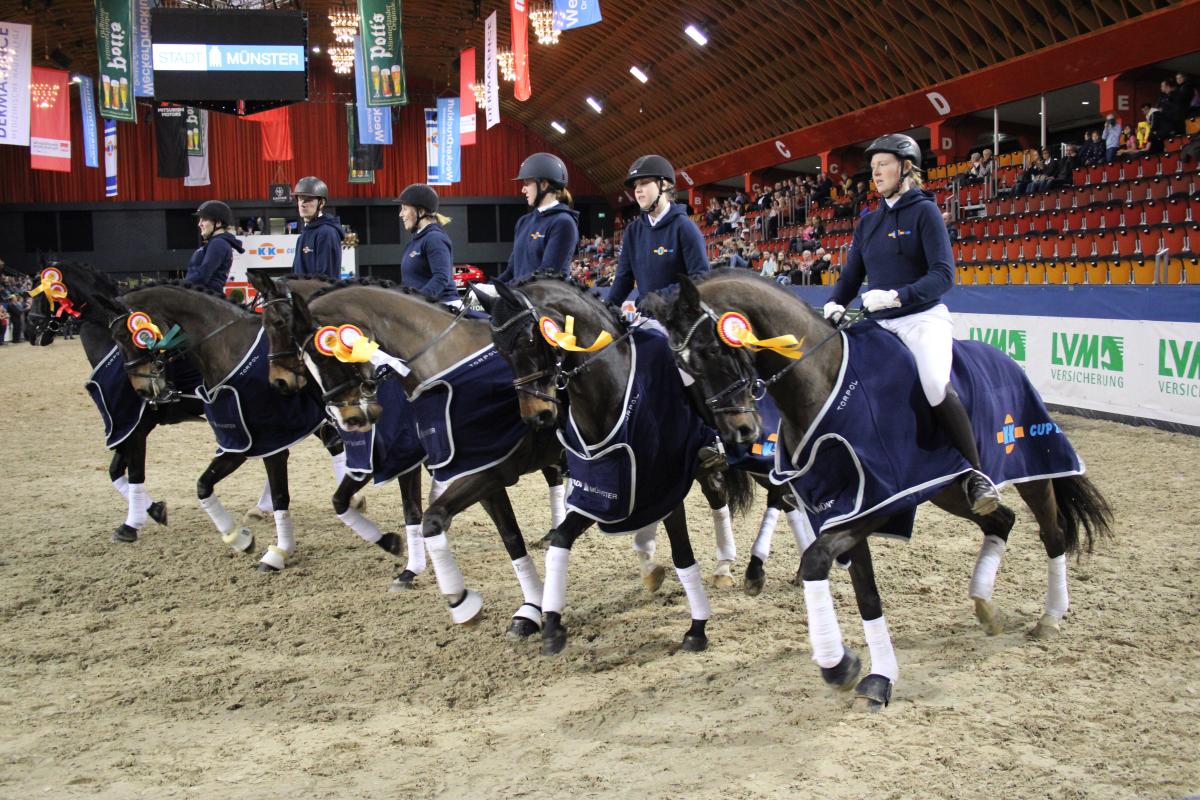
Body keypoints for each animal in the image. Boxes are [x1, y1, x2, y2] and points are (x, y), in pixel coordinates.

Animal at [97, 278, 328, 573]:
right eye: (114, 339)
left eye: (125, 336)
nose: (142, 390)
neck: (226, 348)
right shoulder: (238, 441)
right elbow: (202, 485)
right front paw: (239, 538)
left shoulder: (267, 439)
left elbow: (280, 495)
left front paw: (277, 553)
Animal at [278, 280, 568, 638]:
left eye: (326, 352)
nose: (349, 420)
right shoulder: (470, 474)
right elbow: (504, 537)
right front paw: (528, 611)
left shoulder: (481, 472)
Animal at [482, 275, 753, 657]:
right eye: (499, 351)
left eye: (530, 339)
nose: (537, 416)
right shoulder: (604, 493)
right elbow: (560, 539)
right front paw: (551, 625)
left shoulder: (666, 488)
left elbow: (683, 555)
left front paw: (697, 629)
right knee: (718, 496)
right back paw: (721, 565)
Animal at [662, 272, 1108, 710]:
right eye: (682, 366)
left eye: (713, 350)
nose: (738, 432)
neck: (820, 383)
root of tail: (1006, 360)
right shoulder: (844, 508)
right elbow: (865, 595)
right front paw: (876, 676)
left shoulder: (878, 501)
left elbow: (815, 560)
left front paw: (838, 665)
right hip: (947, 490)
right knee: (1001, 519)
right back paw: (985, 604)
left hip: (1032, 468)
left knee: (1052, 534)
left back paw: (1050, 616)